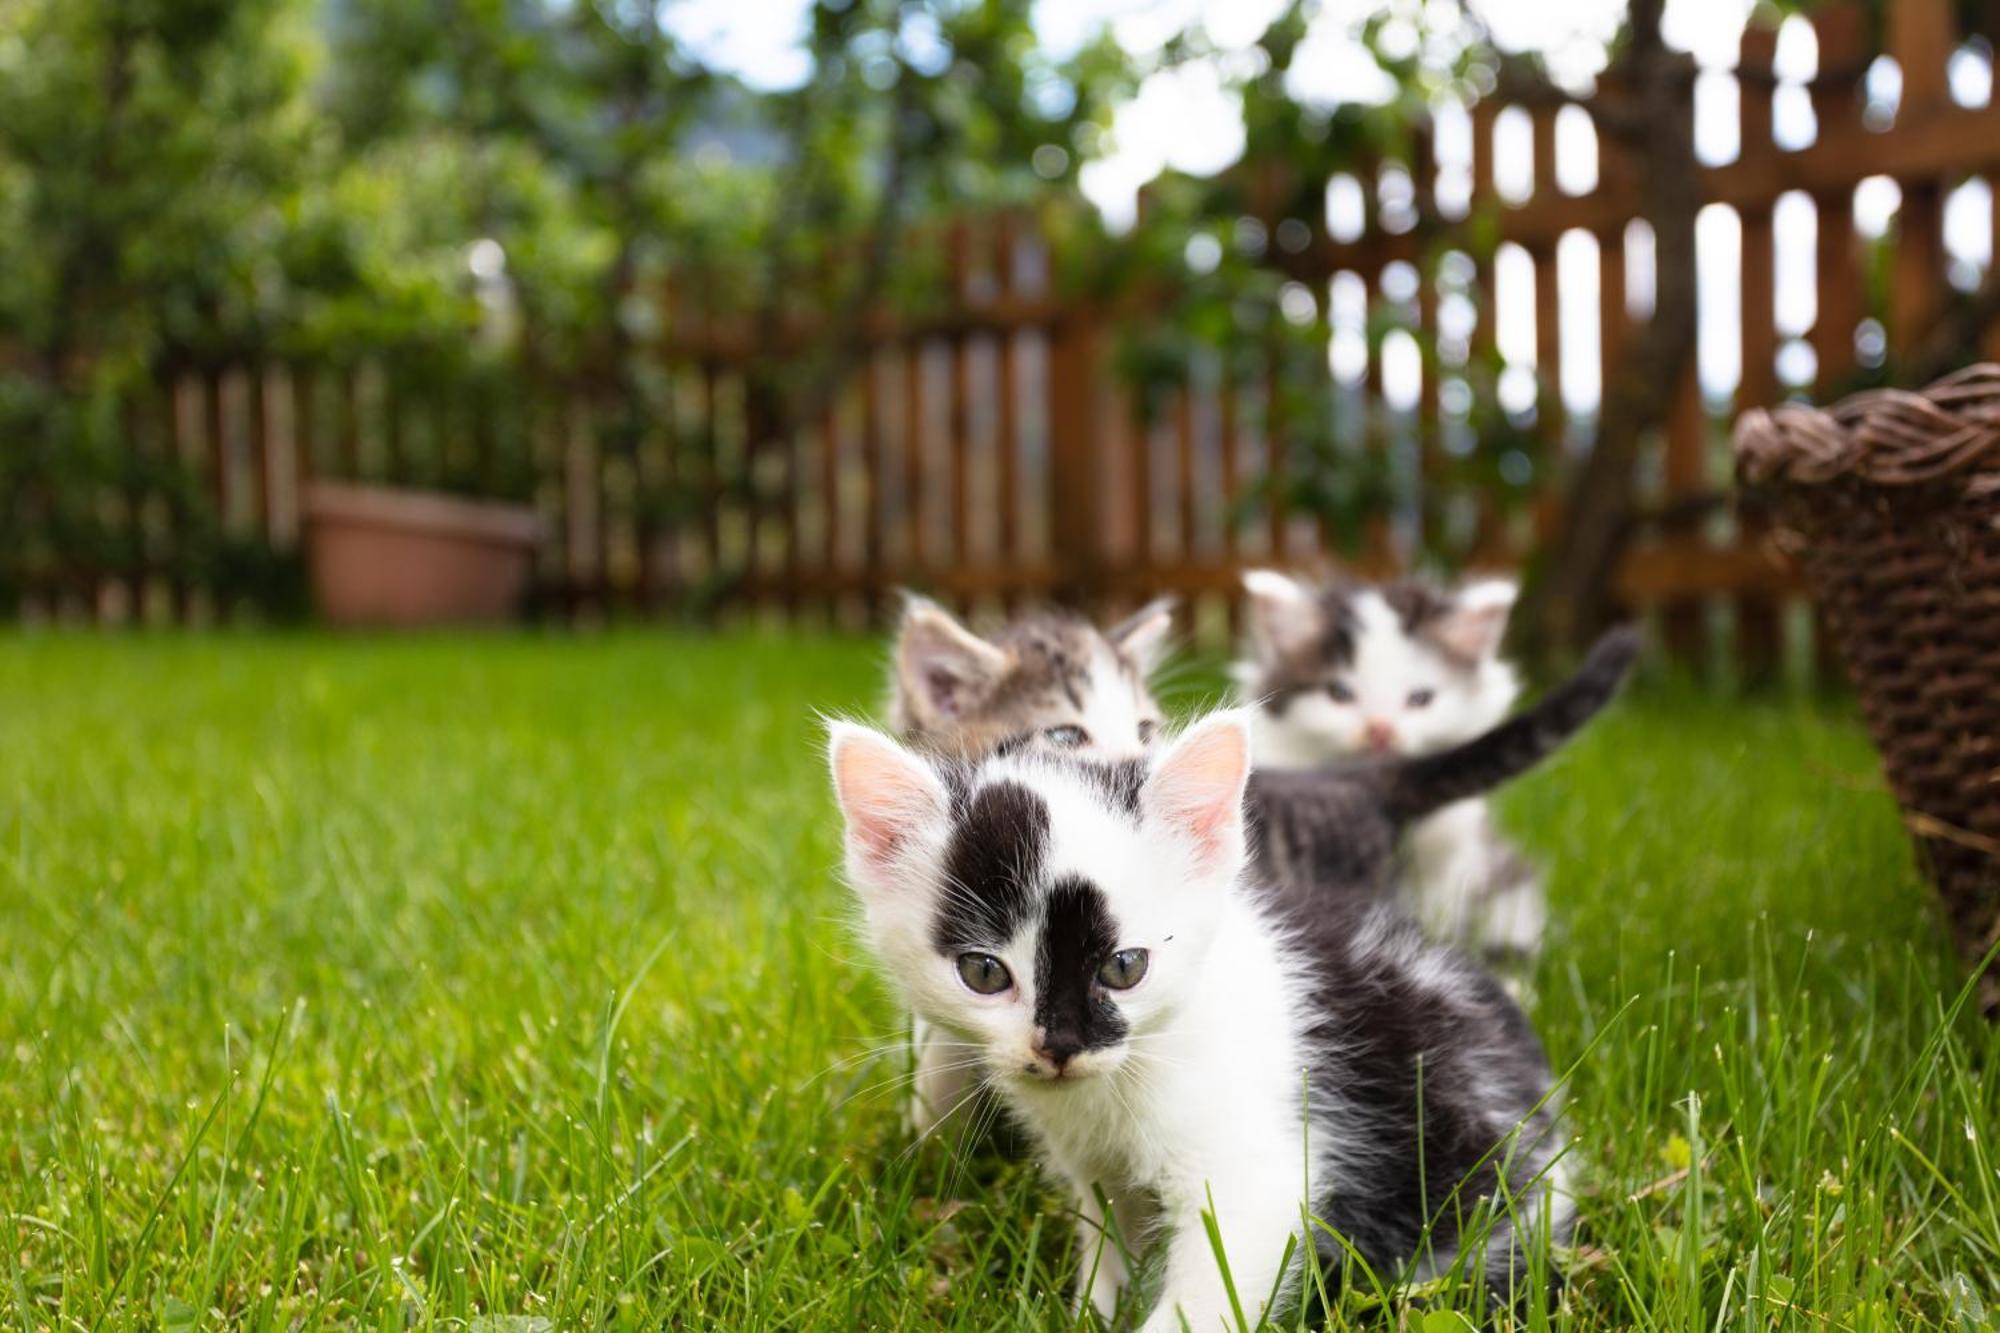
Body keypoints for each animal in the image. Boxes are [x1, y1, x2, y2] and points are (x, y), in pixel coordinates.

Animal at [828, 712, 1576, 1320]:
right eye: (983, 973)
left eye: (1126, 967)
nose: (1060, 1046)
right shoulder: (1098, 1167)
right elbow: (1110, 1234)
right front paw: (1095, 1307)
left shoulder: (1256, 1171)